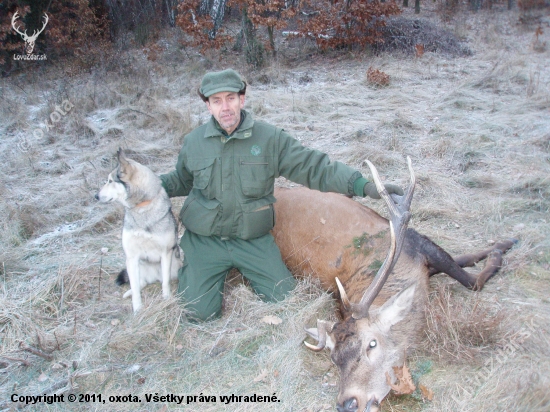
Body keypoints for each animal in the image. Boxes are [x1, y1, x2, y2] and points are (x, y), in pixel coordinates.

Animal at [95, 149, 181, 312]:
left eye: (110, 181)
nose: (95, 196)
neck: (142, 208)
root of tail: (154, 276)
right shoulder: (132, 257)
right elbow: (135, 289)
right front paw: (137, 309)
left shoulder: (165, 253)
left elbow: (166, 282)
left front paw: (166, 298)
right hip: (136, 267)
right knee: (139, 284)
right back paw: (127, 293)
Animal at [274, 159, 520, 412]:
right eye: (335, 359)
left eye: (371, 344)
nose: (347, 403)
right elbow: (470, 274)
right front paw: (500, 248)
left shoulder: (419, 243)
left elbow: (470, 276)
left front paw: (503, 245)